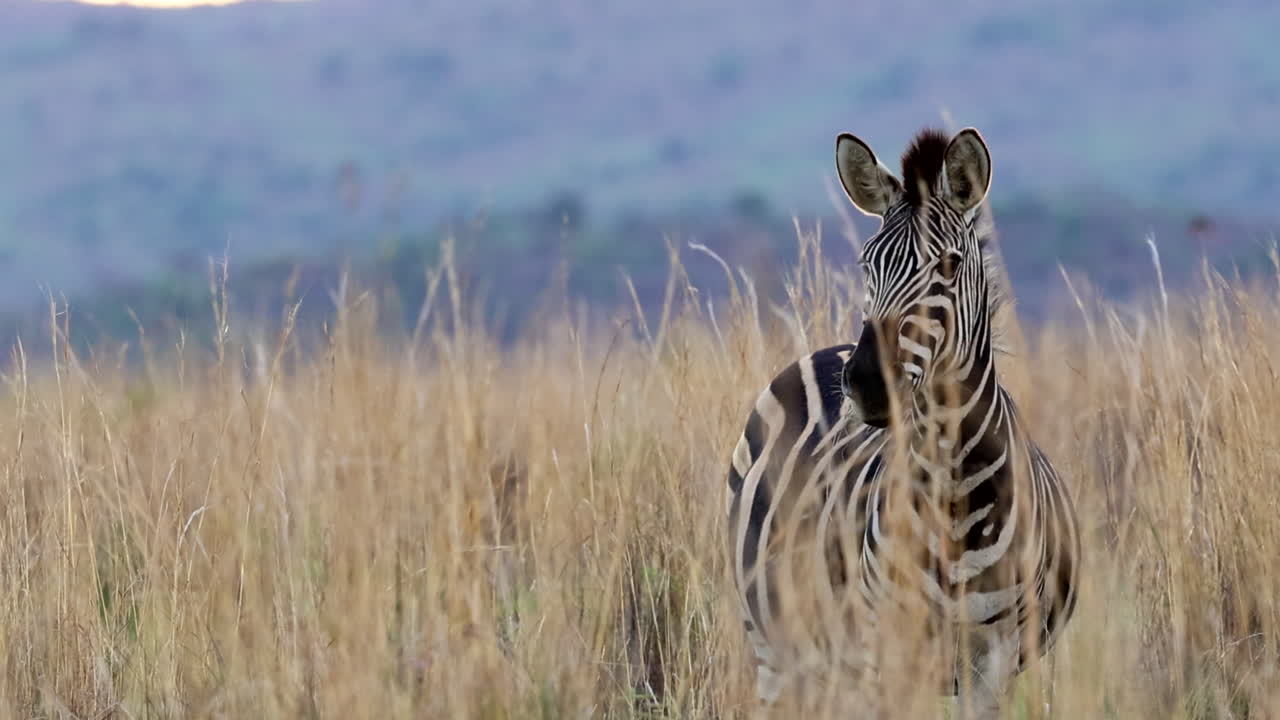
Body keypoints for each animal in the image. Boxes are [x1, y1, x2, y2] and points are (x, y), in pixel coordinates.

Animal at [725, 127, 1080, 717]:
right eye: (867, 265)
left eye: (950, 266)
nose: (868, 383)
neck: (954, 490)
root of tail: (826, 351)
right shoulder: (889, 648)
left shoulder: (994, 661)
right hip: (775, 638)